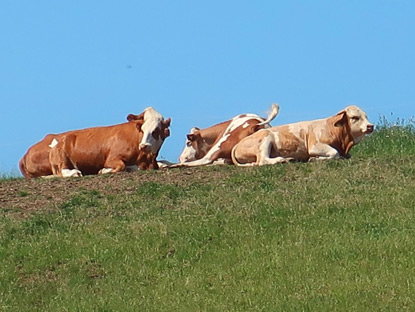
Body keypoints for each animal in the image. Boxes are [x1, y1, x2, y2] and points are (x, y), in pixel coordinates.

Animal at [232, 105, 376, 167]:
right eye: (355, 117)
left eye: (366, 116)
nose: (371, 126)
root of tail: (238, 144)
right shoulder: (314, 146)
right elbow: (334, 153)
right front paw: (314, 159)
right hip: (265, 140)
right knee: (262, 160)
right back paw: (283, 160)